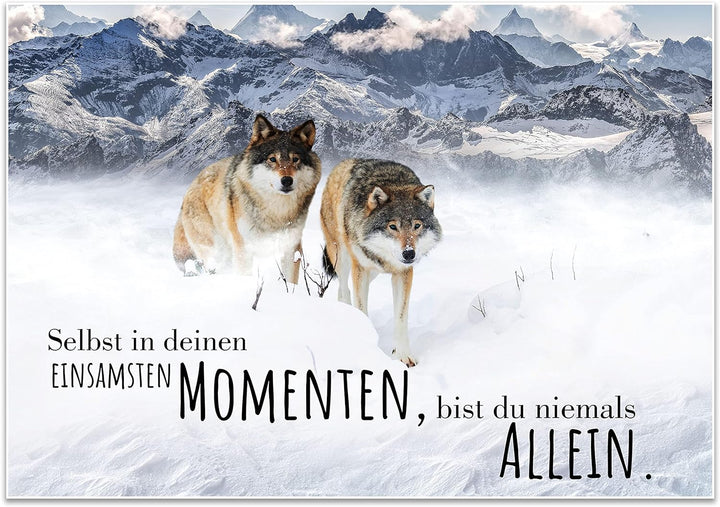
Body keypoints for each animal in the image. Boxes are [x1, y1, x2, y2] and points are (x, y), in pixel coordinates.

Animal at [173, 114, 321, 282]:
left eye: (295, 159)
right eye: (272, 159)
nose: (287, 181)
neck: (277, 212)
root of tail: (191, 186)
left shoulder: (291, 248)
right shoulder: (244, 249)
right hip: (215, 252)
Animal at [320, 159, 442, 367]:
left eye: (417, 225)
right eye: (392, 226)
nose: (409, 253)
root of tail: (342, 164)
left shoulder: (403, 273)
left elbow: (401, 318)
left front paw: (403, 355)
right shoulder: (359, 268)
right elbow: (361, 306)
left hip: (371, 270)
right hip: (342, 257)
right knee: (344, 289)